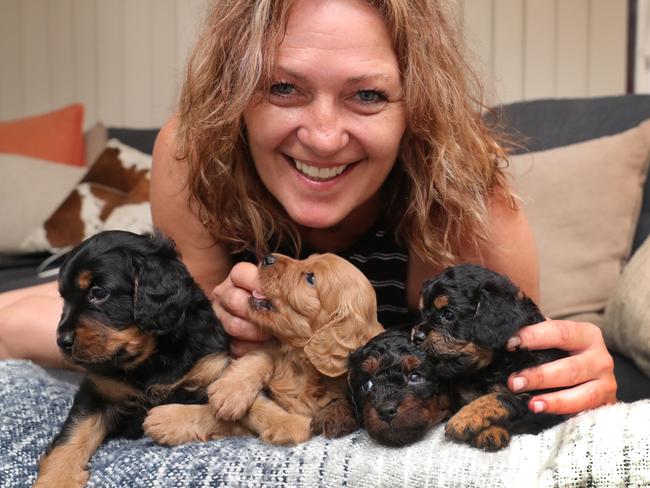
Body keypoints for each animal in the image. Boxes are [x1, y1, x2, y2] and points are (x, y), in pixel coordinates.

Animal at [33, 231, 246, 486]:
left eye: (98, 293)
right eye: (64, 299)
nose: (62, 342)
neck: (150, 359)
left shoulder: (209, 369)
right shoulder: (97, 391)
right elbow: (72, 434)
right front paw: (56, 479)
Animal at [144, 252, 382, 446]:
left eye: (311, 278)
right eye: (305, 259)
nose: (267, 257)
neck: (299, 364)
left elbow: (217, 418)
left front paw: (166, 419)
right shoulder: (272, 348)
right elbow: (258, 358)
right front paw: (230, 391)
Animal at [412, 264, 564, 452]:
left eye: (448, 315)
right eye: (422, 314)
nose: (416, 336)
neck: (491, 366)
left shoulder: (544, 400)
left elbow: (503, 397)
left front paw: (464, 418)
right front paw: (489, 432)